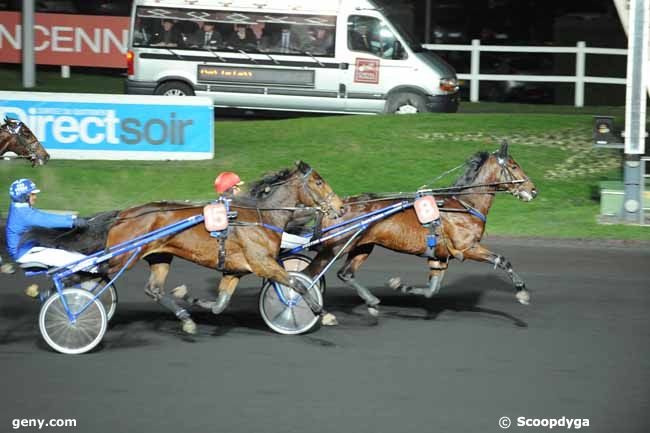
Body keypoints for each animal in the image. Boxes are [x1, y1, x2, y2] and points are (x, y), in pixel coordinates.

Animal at [304, 143, 536, 316]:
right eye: (514, 166)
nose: (533, 190)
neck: (463, 205)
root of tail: (335, 207)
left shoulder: (440, 257)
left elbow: (432, 290)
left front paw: (400, 286)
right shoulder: (467, 248)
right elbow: (503, 260)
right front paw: (522, 292)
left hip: (363, 246)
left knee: (346, 274)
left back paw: (371, 301)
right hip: (337, 246)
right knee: (309, 274)